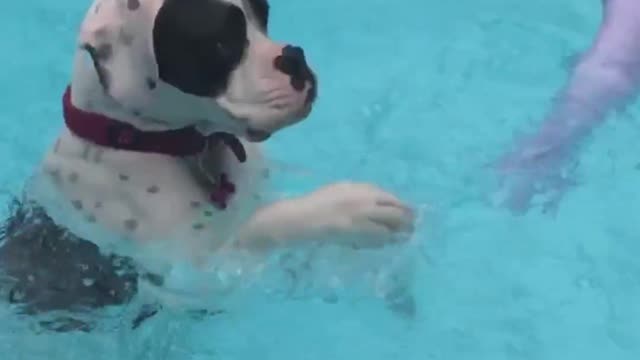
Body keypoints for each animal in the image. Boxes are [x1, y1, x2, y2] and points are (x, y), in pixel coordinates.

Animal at [0, 0, 416, 332]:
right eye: (219, 43)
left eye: (264, 14)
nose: (295, 57)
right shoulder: (194, 276)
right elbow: (260, 225)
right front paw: (347, 209)